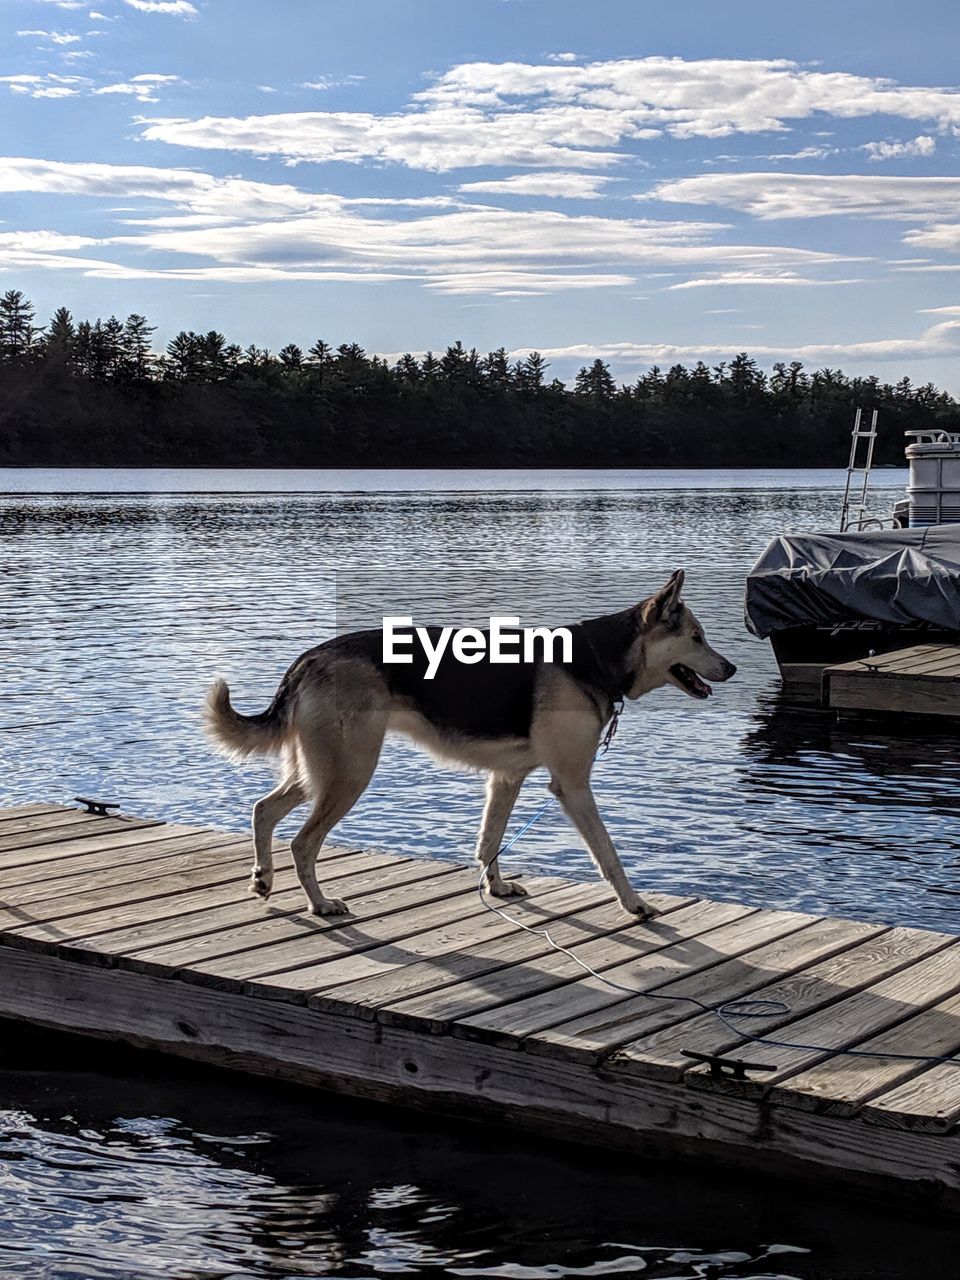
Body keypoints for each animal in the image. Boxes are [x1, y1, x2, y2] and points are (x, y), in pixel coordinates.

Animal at [204, 570, 737, 921]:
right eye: (697, 637)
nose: (732, 668)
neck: (596, 658)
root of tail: (310, 658)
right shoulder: (571, 785)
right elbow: (608, 854)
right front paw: (635, 904)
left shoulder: (507, 778)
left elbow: (489, 843)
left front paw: (495, 889)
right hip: (349, 774)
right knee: (302, 842)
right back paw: (319, 903)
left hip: (321, 771)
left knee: (262, 810)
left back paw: (262, 878)